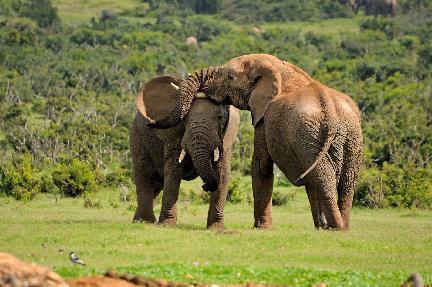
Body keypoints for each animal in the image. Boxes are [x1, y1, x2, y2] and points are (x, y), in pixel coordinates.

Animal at [132, 75, 240, 228]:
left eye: (219, 117)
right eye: (184, 118)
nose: (205, 186)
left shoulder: (226, 136)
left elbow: (223, 172)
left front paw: (217, 229)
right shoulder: (173, 135)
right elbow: (173, 171)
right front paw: (167, 225)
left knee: (157, 184)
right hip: (137, 136)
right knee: (145, 177)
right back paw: (144, 221)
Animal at [150, 54, 362, 232]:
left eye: (230, 77)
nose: (205, 187)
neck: (277, 66)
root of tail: (331, 109)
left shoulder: (264, 117)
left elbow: (261, 166)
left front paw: (261, 228)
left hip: (309, 138)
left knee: (323, 180)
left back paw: (335, 229)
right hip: (351, 138)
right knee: (346, 183)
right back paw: (339, 228)